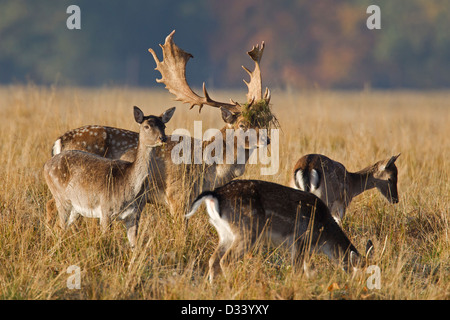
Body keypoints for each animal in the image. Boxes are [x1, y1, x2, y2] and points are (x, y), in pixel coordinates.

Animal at [42, 105, 176, 248]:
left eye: (164, 126)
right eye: (146, 126)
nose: (162, 138)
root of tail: (46, 165)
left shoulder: (135, 215)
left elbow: (134, 246)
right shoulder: (105, 209)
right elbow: (106, 240)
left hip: (75, 208)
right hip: (61, 198)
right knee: (58, 224)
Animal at [186, 180, 372, 282]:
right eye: (360, 273)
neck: (323, 234)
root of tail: (214, 195)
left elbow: (307, 269)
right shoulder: (300, 239)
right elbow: (297, 269)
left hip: (224, 233)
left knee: (213, 259)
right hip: (247, 230)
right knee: (226, 260)